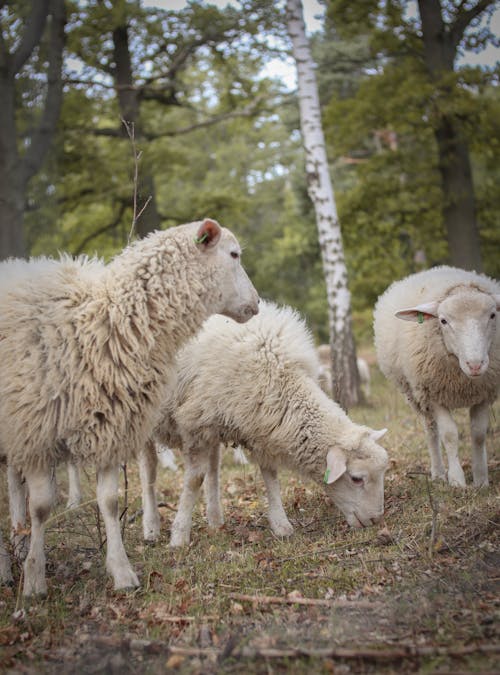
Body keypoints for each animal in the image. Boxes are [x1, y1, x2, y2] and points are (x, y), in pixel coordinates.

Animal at [0, 219, 258, 596]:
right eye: (234, 254)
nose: (257, 303)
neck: (105, 319)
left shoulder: (109, 427)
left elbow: (109, 501)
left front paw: (122, 572)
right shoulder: (35, 431)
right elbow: (43, 506)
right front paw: (34, 579)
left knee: (13, 483)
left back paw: (17, 543)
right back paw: (10, 563)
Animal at [143, 304, 388, 548]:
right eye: (356, 478)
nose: (376, 519)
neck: (278, 373)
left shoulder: (260, 425)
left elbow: (270, 476)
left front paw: (281, 524)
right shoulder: (197, 426)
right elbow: (194, 481)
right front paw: (179, 536)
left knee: (213, 468)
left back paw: (215, 519)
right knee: (149, 469)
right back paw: (151, 526)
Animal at [374, 262, 498, 486]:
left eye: (493, 315)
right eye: (443, 321)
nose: (475, 365)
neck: (463, 380)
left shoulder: (484, 393)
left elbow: (478, 434)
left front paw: (481, 480)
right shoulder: (433, 394)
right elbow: (449, 435)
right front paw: (457, 480)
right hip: (415, 394)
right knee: (431, 430)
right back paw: (439, 472)